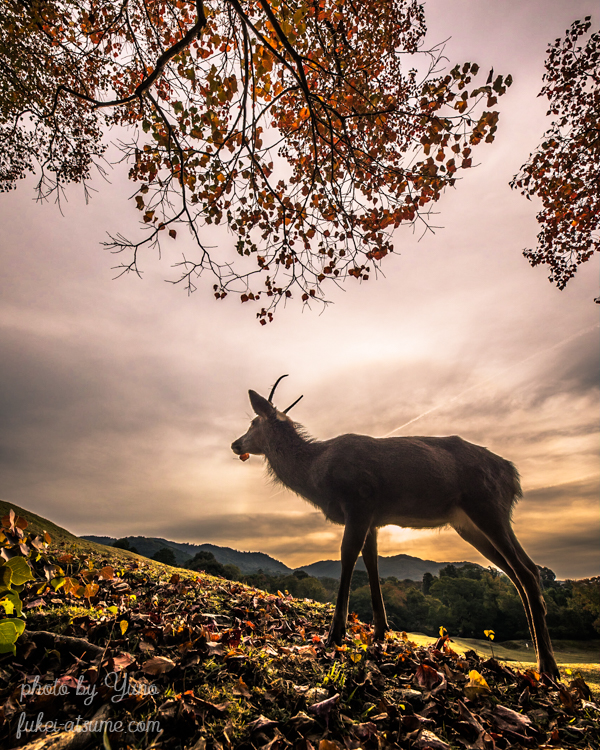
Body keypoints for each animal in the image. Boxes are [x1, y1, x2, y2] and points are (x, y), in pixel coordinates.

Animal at [232, 378, 560, 680]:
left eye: (253, 423)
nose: (236, 444)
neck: (317, 476)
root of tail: (513, 475)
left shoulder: (360, 499)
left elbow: (347, 555)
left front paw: (335, 633)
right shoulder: (374, 518)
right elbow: (372, 562)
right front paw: (380, 631)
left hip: (486, 504)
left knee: (525, 572)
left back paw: (548, 667)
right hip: (471, 523)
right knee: (522, 570)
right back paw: (541, 655)